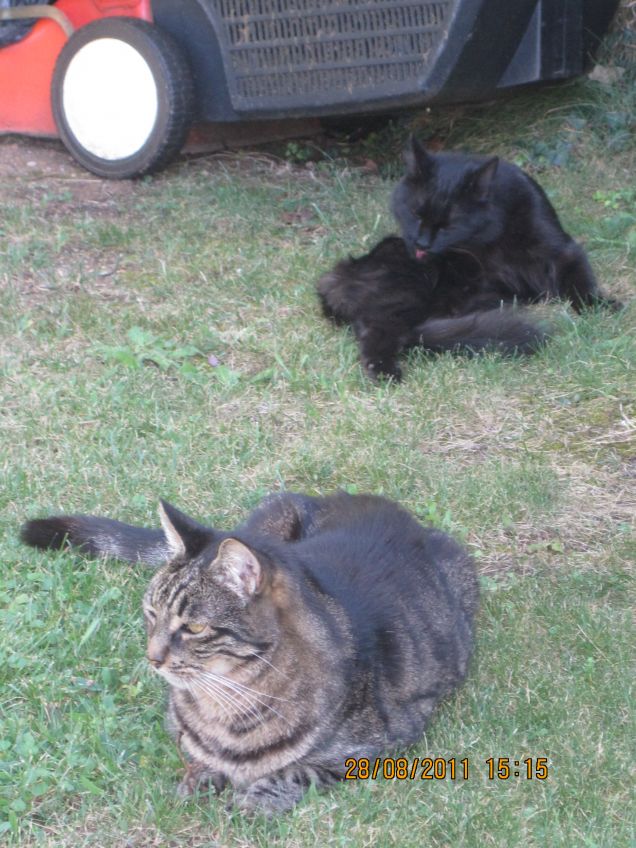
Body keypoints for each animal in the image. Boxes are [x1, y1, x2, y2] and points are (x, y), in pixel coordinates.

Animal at [21, 490, 476, 816]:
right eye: (151, 612)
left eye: (194, 627)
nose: (153, 657)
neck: (230, 700)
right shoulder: (184, 728)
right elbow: (195, 750)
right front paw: (199, 778)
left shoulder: (369, 750)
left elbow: (293, 772)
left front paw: (253, 800)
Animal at [318, 137, 620, 380]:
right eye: (416, 214)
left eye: (448, 225)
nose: (422, 243)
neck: (493, 235)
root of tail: (333, 279)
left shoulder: (561, 251)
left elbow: (580, 281)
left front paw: (600, 306)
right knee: (382, 330)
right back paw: (384, 371)